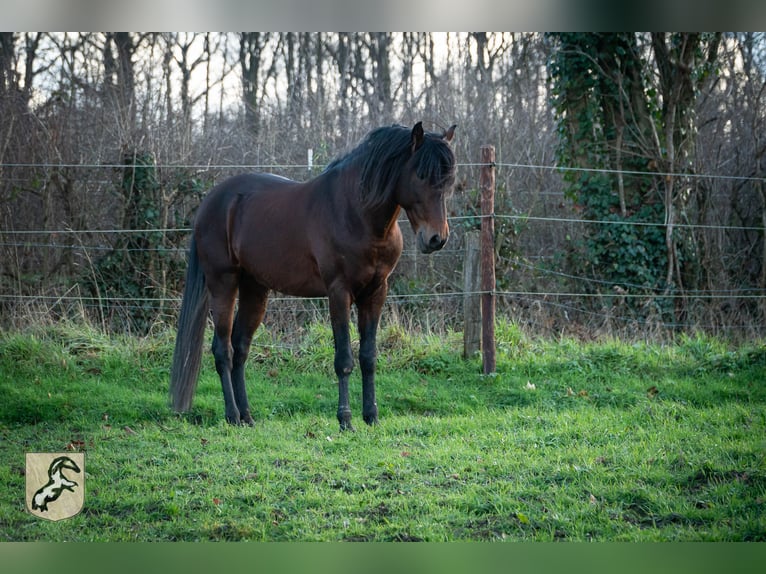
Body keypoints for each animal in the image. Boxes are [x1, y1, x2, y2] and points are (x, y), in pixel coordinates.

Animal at [171, 122, 460, 432]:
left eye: (449, 180)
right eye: (421, 175)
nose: (436, 239)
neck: (357, 214)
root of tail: (211, 203)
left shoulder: (375, 292)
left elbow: (368, 357)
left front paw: (371, 416)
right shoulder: (339, 292)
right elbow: (344, 358)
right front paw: (345, 419)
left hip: (255, 290)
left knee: (240, 348)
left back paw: (247, 416)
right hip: (222, 284)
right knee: (223, 350)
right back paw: (232, 415)